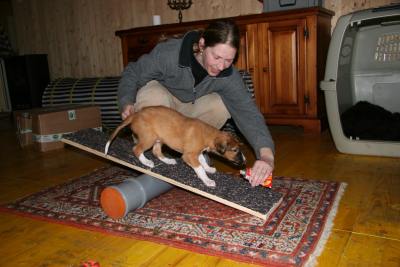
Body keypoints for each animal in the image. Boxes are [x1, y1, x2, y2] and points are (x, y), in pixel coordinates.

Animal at [104, 105, 245, 187]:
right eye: (235, 150)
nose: (245, 161)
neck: (208, 134)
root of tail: (136, 114)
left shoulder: (197, 153)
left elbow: (203, 162)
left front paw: (209, 169)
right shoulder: (189, 155)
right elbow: (199, 168)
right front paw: (207, 180)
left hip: (158, 139)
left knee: (156, 152)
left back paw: (168, 161)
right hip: (149, 138)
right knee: (136, 149)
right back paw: (147, 162)